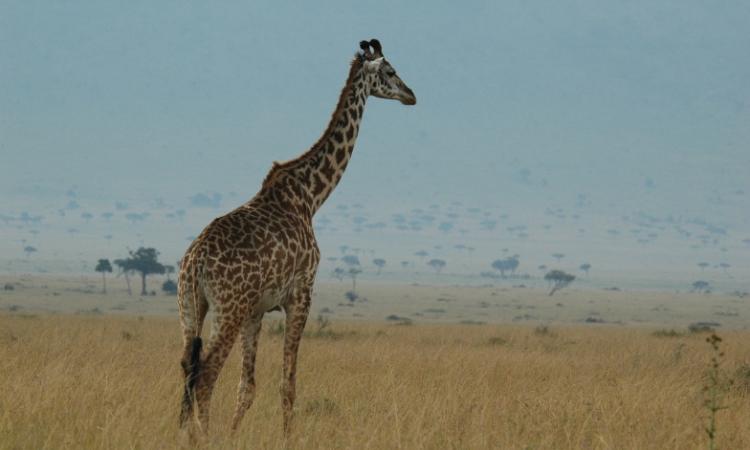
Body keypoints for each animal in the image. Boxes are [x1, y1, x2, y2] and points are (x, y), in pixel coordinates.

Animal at [177, 39, 416, 437]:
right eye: (391, 70)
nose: (411, 95)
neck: (310, 195)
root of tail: (195, 261)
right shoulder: (301, 294)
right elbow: (287, 385)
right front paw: (286, 437)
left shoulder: (256, 310)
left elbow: (247, 387)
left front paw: (234, 435)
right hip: (227, 309)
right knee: (206, 374)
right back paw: (202, 438)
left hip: (191, 307)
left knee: (186, 368)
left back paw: (185, 433)